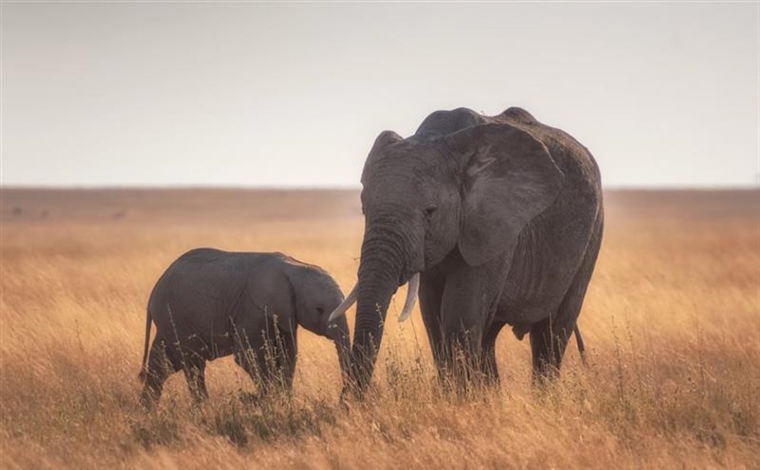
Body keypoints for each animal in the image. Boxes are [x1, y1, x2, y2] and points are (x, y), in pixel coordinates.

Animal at [138, 248, 351, 407]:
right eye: (319, 309)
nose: (342, 400)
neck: (295, 267)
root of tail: (154, 291)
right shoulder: (251, 309)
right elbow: (248, 356)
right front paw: (266, 401)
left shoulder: (285, 315)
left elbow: (288, 355)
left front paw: (283, 401)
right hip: (176, 317)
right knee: (193, 364)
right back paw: (204, 408)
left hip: (171, 321)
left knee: (163, 363)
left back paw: (147, 410)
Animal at [330, 106, 603, 393]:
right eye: (364, 209)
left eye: (430, 212)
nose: (349, 401)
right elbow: (434, 316)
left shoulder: (494, 225)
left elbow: (459, 315)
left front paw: (461, 399)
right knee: (489, 337)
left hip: (593, 234)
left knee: (552, 333)